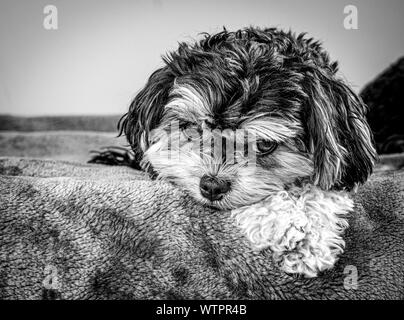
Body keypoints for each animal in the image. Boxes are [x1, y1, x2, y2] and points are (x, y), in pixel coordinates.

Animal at [115, 27, 378, 278]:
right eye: (191, 127)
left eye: (264, 144)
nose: (212, 186)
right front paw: (289, 232)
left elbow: (320, 190)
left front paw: (308, 242)